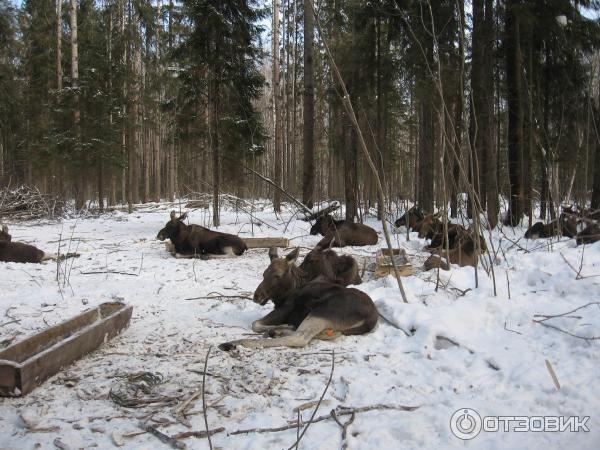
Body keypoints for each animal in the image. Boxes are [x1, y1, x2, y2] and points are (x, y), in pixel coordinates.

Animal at [218, 248, 378, 350]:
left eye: (278, 275)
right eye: (264, 274)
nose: (257, 296)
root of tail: (371, 319)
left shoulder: (286, 308)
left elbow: (255, 324)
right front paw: (282, 326)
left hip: (323, 311)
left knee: (300, 337)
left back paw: (235, 343)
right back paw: (280, 330)